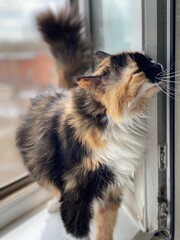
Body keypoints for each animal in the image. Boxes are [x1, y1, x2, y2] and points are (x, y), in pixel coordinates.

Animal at [16, 5, 163, 240]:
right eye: (138, 70)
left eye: (148, 60)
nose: (158, 64)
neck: (116, 121)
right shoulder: (75, 192)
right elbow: (77, 230)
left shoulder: (112, 187)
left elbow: (105, 228)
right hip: (39, 167)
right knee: (53, 187)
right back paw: (53, 205)